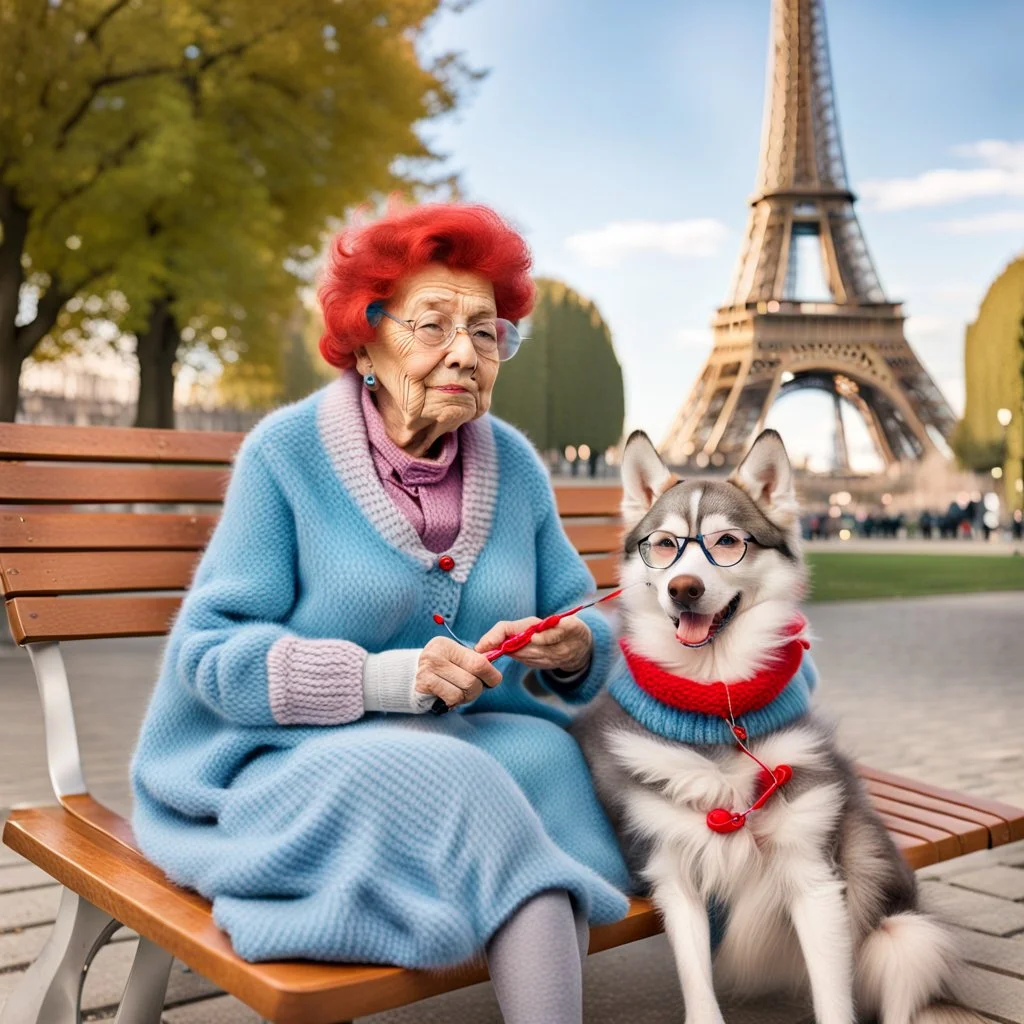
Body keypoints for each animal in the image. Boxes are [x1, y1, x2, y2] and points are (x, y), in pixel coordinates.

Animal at [573, 430, 978, 1024]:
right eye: (665, 545)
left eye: (727, 542)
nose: (684, 589)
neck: (718, 715)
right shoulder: (674, 876)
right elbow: (698, 987)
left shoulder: (816, 878)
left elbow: (834, 998)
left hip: (904, 938)